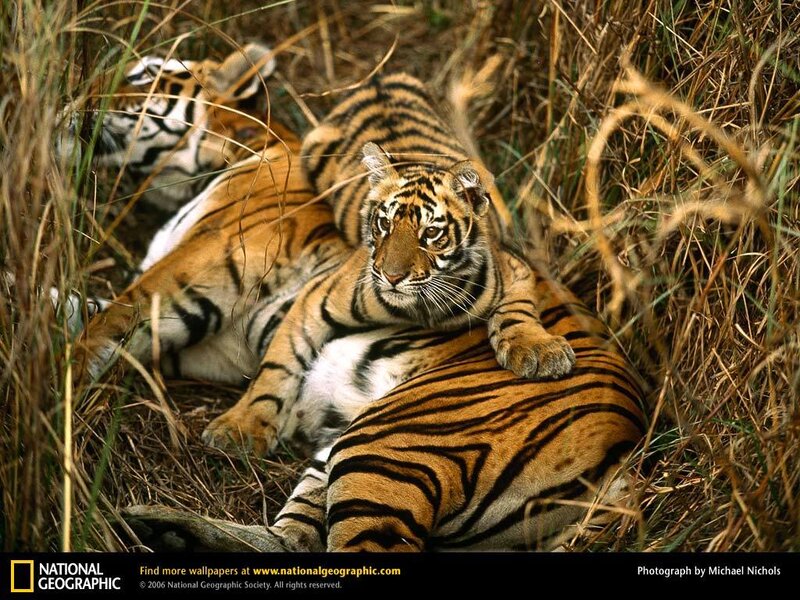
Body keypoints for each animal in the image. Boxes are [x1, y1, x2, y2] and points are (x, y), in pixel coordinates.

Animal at [67, 45, 645, 551]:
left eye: (145, 73)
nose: (74, 99)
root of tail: (630, 443)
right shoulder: (219, 347)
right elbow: (80, 306)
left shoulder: (192, 274)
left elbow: (108, 319)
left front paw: (58, 378)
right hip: (342, 455)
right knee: (292, 541)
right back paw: (167, 532)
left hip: (391, 442)